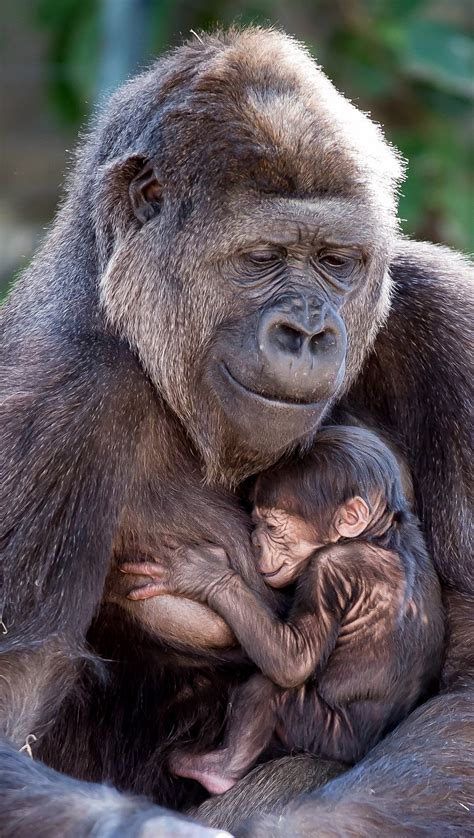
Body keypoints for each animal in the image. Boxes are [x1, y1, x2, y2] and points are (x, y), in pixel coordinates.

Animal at [120, 430, 442, 796]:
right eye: (255, 520)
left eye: (272, 526)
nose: (256, 541)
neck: (379, 535)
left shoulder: (328, 570)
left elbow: (293, 661)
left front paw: (204, 573)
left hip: (321, 731)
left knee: (267, 690)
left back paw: (214, 770)